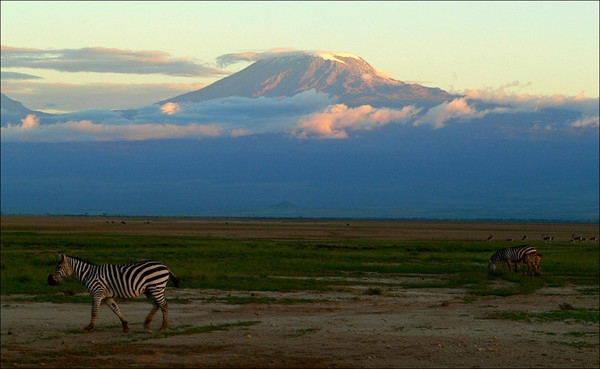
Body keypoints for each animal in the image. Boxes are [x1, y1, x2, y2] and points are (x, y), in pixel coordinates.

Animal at [47, 252, 178, 332]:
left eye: (59, 267)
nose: (49, 280)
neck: (89, 274)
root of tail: (165, 266)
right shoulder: (107, 296)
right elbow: (116, 310)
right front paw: (125, 326)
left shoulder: (97, 293)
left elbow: (94, 311)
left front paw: (89, 327)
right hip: (150, 290)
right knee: (157, 304)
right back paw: (147, 322)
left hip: (157, 287)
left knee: (164, 305)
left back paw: (163, 327)